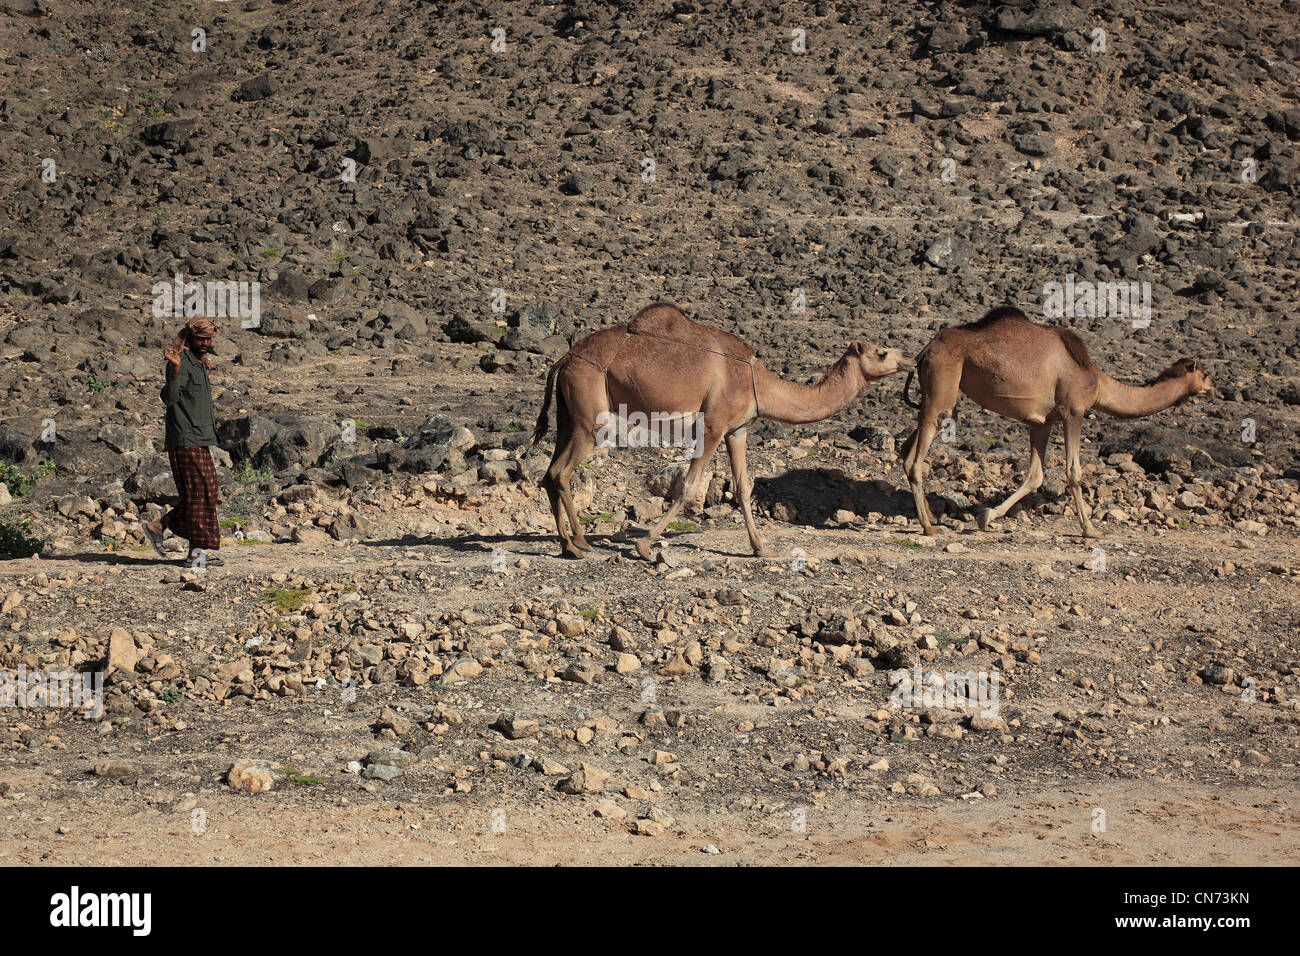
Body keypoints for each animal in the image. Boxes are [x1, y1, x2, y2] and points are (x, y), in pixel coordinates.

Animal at [533, 304, 909, 561]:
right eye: (882, 352)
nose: (907, 359)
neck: (758, 381)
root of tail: (564, 359)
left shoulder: (737, 430)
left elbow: (743, 487)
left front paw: (761, 548)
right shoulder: (712, 426)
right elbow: (687, 486)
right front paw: (643, 544)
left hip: (569, 416)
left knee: (550, 473)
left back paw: (570, 544)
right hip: (589, 416)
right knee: (561, 472)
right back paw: (579, 543)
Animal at [899, 306, 1211, 538]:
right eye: (1205, 374)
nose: (1214, 387)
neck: (1096, 380)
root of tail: (925, 350)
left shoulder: (1042, 422)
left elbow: (1036, 476)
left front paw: (987, 515)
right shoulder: (1073, 411)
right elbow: (1073, 472)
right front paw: (1090, 529)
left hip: (935, 393)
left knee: (906, 450)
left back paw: (931, 518)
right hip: (943, 382)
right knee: (917, 457)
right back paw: (927, 527)